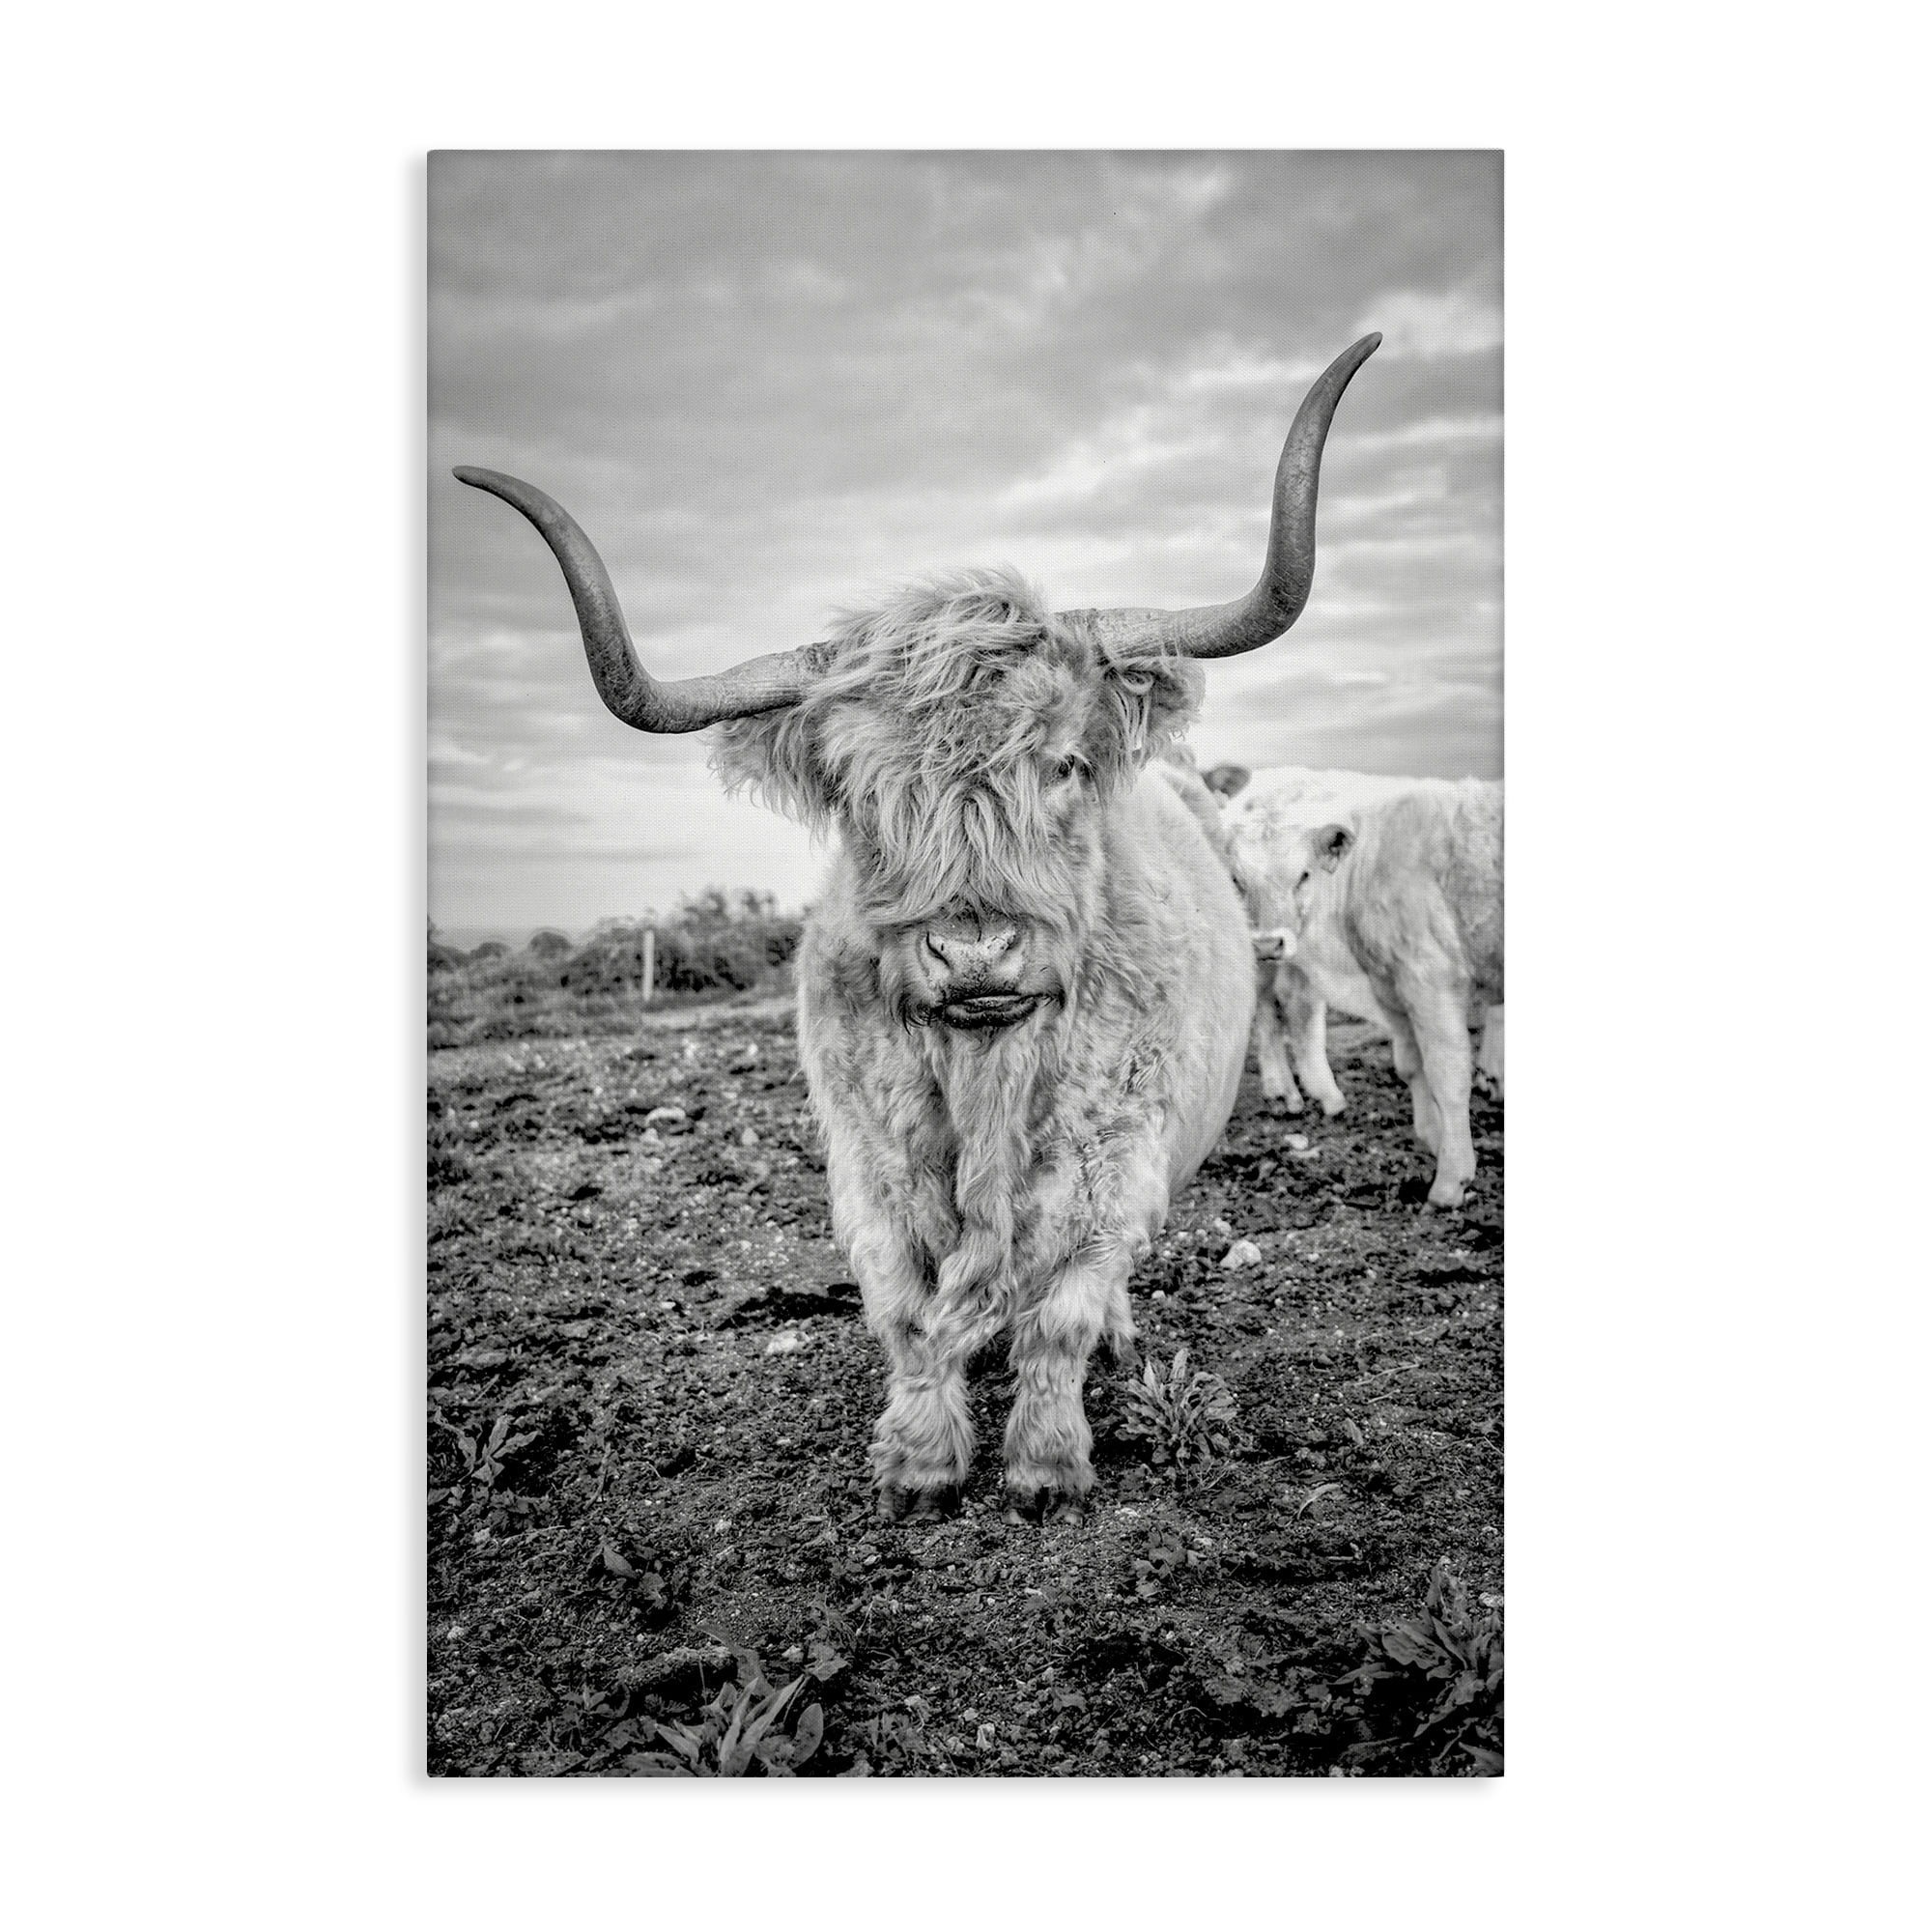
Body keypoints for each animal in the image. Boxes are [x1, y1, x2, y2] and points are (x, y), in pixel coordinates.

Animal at [454, 333, 1380, 1523]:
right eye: (858, 795)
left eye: (1062, 762)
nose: (975, 951)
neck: (986, 1072)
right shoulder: (867, 1164)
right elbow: (903, 1313)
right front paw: (919, 1463)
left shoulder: (1114, 1160)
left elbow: (1060, 1313)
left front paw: (1045, 1466)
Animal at [1223, 779, 1503, 1209]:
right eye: (1238, 881)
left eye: (1303, 875)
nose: (1268, 943)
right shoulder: (1400, 983)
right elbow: (1418, 1067)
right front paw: (1439, 1147)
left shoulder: (1425, 977)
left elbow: (1443, 1074)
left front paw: (1449, 1175)